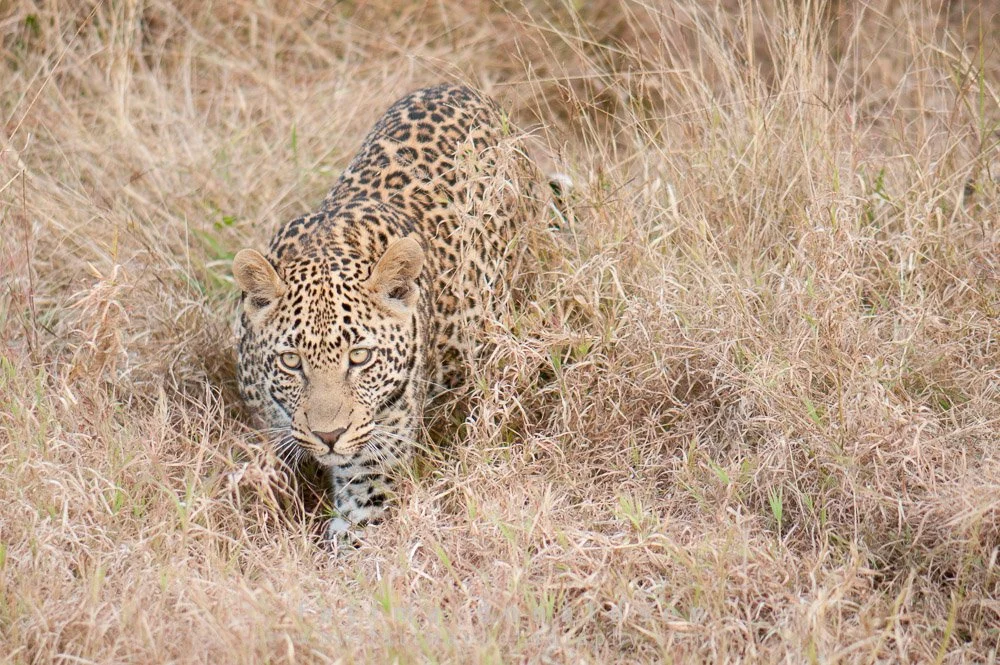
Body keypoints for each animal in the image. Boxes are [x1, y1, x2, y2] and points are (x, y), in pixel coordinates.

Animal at [232, 83, 548, 543]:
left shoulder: (371, 476)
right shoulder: (268, 424)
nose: (329, 436)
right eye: (291, 362)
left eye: (360, 357)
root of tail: (459, 87)